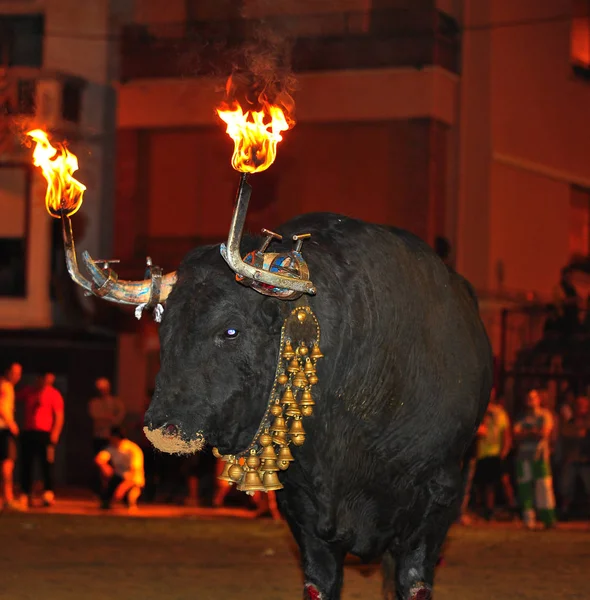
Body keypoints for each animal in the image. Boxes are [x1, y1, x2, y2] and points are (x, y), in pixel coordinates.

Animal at [145, 213, 494, 600]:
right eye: (164, 329)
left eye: (231, 330)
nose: (161, 429)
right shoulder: (303, 512)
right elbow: (320, 582)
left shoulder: (439, 496)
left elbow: (414, 582)